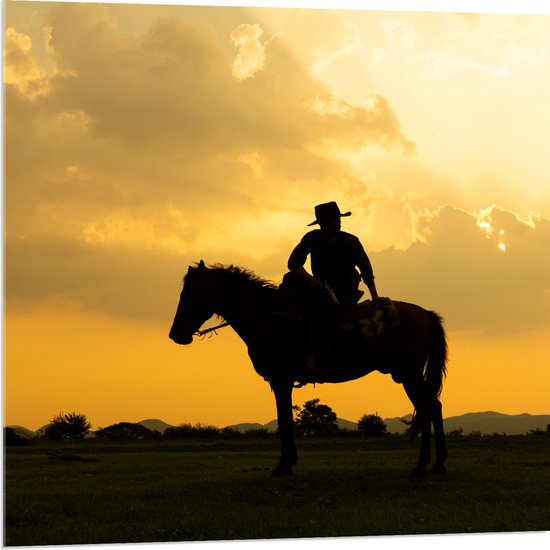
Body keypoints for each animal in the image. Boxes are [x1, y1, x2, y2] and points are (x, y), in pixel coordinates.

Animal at [169, 260, 448, 480]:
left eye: (190, 294)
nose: (175, 335)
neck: (269, 318)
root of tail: (424, 313)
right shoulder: (280, 382)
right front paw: (287, 463)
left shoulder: (281, 380)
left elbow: (285, 421)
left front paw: (283, 466)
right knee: (433, 407)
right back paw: (437, 465)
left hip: (410, 373)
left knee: (428, 407)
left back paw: (421, 467)